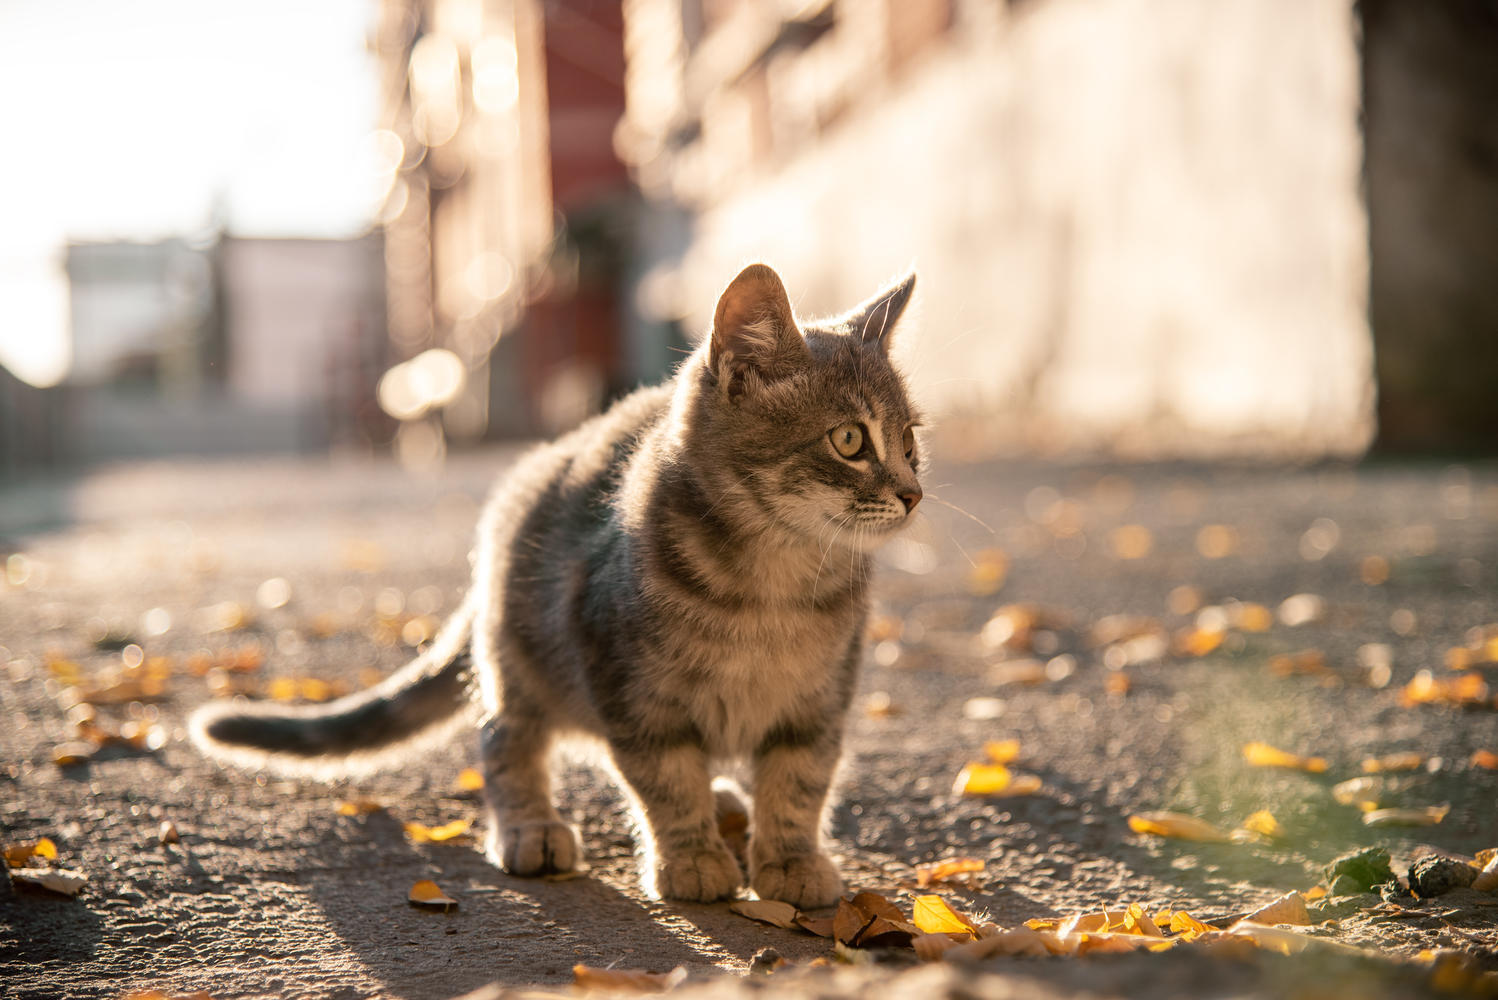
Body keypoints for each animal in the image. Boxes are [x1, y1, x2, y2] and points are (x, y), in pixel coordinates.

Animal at [190, 263, 922, 904]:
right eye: (850, 440)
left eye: (912, 441)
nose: (914, 493)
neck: (771, 586)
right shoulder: (630, 691)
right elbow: (667, 779)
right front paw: (690, 856)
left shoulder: (819, 703)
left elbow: (799, 782)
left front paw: (791, 860)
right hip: (523, 661)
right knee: (505, 739)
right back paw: (532, 828)